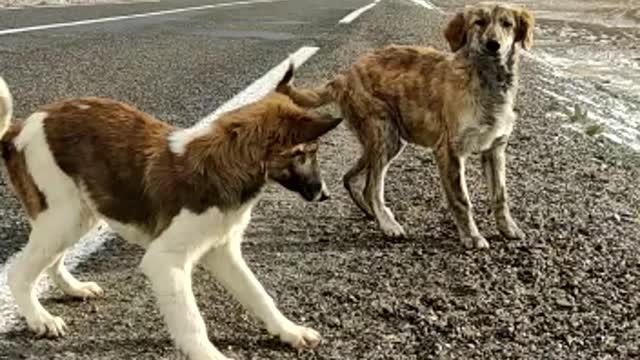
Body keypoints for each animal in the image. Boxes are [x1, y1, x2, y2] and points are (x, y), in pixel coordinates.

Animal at [0, 74, 340, 360]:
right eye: (308, 153)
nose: (325, 194)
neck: (225, 161)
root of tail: (17, 131)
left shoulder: (223, 251)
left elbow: (258, 294)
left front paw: (289, 331)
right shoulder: (165, 261)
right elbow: (191, 320)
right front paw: (209, 355)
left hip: (79, 213)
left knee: (52, 259)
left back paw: (73, 288)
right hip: (64, 215)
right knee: (19, 272)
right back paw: (40, 319)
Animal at [278, 2, 532, 249]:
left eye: (507, 24)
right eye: (479, 22)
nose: (493, 45)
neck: (487, 81)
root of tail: (345, 76)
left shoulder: (495, 149)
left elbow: (500, 195)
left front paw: (508, 228)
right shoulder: (449, 151)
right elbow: (462, 200)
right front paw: (471, 236)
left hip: (385, 141)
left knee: (350, 178)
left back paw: (375, 215)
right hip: (384, 134)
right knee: (371, 188)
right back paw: (388, 225)